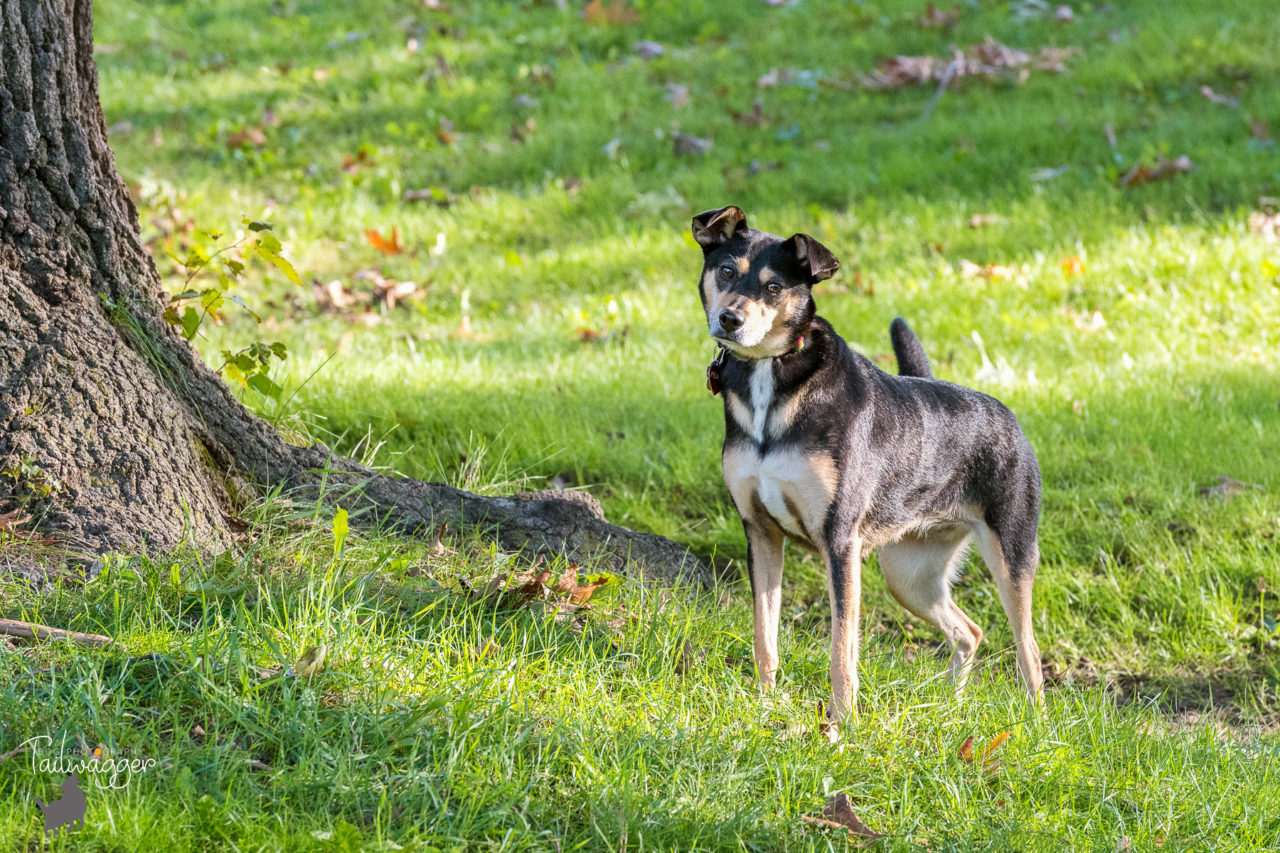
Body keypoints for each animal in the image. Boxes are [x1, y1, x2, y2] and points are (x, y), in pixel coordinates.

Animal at [696, 204, 1044, 732]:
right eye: (726, 271)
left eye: (774, 287)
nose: (728, 319)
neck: (771, 378)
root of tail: (1008, 417)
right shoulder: (760, 532)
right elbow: (765, 636)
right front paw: (765, 707)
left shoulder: (839, 542)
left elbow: (842, 649)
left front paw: (841, 725)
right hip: (909, 575)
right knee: (969, 631)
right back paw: (949, 709)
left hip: (1011, 553)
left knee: (1030, 652)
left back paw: (1038, 727)